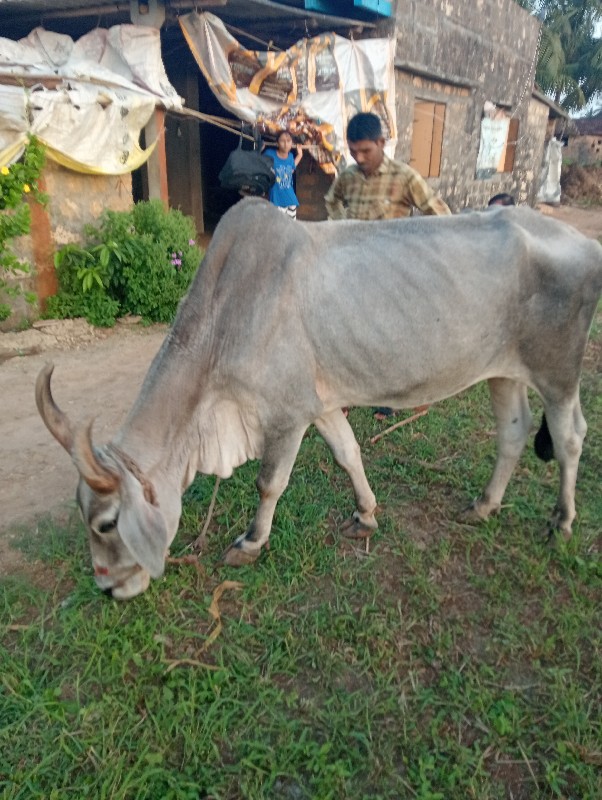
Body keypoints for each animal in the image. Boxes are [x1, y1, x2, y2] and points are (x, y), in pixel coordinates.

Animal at [36, 199, 600, 596]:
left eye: (107, 523)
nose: (107, 587)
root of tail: (585, 242)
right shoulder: (320, 404)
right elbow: (348, 454)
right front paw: (366, 514)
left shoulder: (285, 415)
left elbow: (269, 482)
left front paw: (250, 543)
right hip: (503, 373)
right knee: (513, 433)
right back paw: (483, 506)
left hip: (558, 372)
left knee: (570, 437)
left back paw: (561, 522)